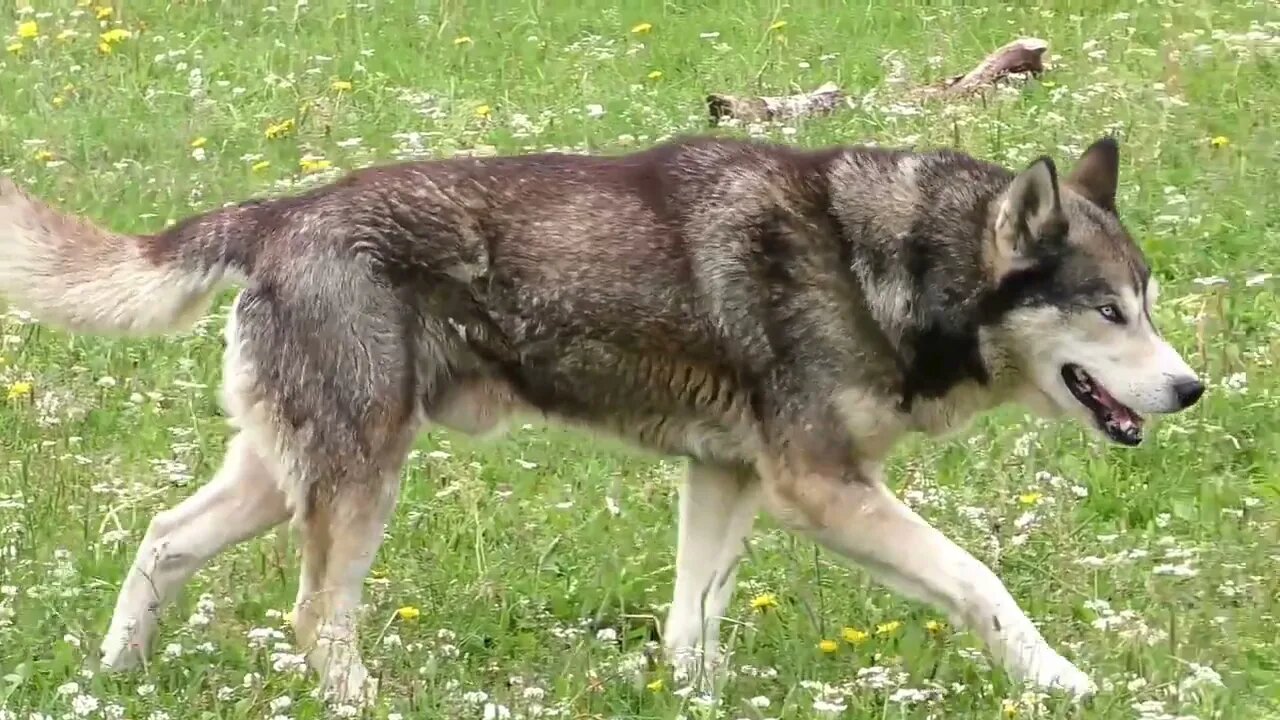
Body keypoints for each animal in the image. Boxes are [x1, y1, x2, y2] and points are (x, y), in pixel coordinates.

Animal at [0, 134, 1198, 702]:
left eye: (1147, 301)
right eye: (1106, 310)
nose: (1190, 389)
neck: (891, 266)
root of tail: (278, 212)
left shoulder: (727, 479)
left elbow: (689, 627)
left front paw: (699, 703)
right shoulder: (822, 490)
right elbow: (983, 587)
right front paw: (1062, 682)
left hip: (284, 471)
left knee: (163, 539)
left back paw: (113, 677)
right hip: (358, 478)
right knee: (313, 619)